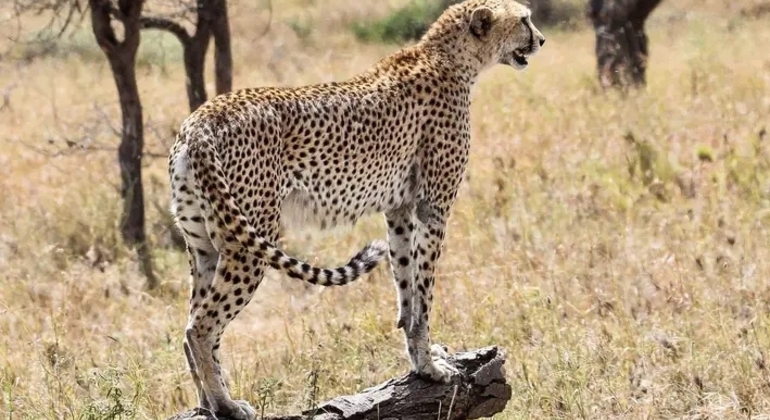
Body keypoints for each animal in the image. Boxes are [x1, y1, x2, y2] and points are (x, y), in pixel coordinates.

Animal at [170, 1, 540, 418]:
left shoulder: (399, 210)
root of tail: (201, 118)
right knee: (202, 327)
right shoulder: (433, 207)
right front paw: (431, 367)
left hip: (203, 245)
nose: (541, 40)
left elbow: (406, 287)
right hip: (248, 244)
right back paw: (226, 404)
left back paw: (207, 402)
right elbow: (425, 293)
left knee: (191, 324)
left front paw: (419, 360)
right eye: (524, 20)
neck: (453, 59)